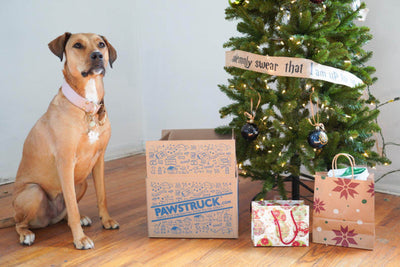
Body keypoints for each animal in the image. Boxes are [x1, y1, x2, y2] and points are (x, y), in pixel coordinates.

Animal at [0, 32, 118, 250]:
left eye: (101, 44)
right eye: (77, 45)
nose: (97, 55)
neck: (86, 106)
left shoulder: (99, 160)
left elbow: (102, 195)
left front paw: (106, 220)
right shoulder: (65, 162)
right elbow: (72, 207)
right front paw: (80, 239)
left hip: (81, 182)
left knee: (64, 215)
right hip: (34, 192)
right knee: (21, 223)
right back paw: (26, 235)